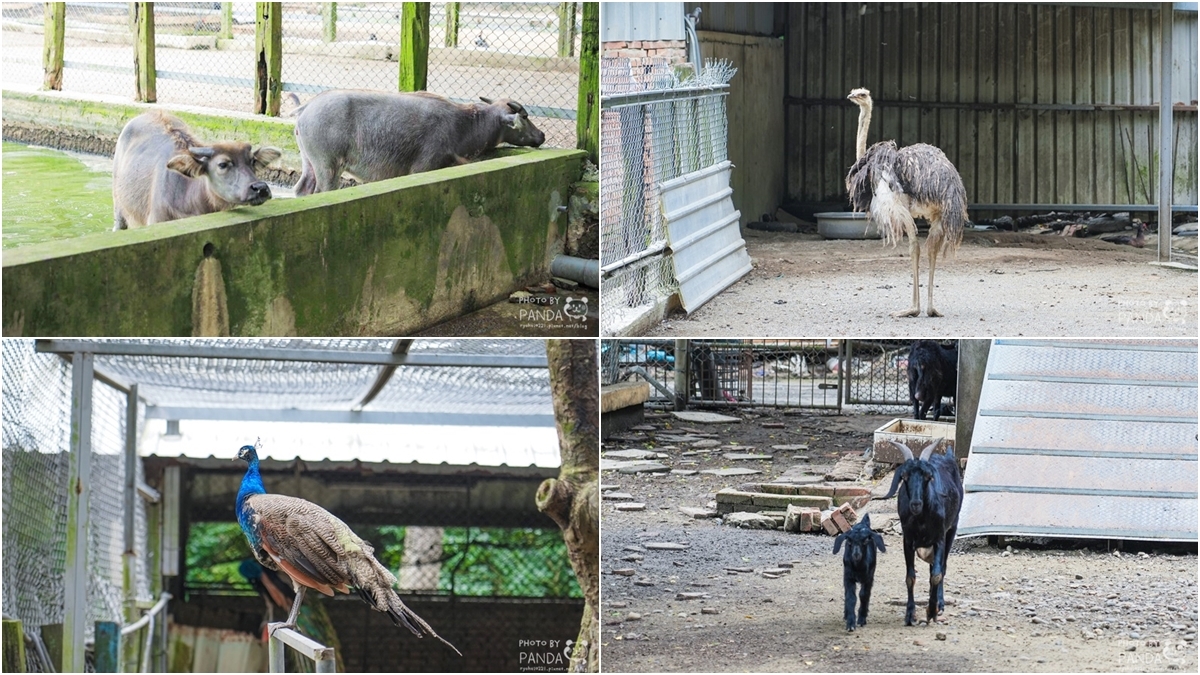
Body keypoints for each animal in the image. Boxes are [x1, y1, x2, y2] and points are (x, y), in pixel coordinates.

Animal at [292, 89, 547, 194]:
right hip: (328, 168)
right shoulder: (423, 167)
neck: (464, 124)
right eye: (525, 117)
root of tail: (306, 108)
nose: (542, 135)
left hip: (309, 164)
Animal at [883, 439, 964, 624]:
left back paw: (940, 603)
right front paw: (910, 614)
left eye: (928, 476)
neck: (921, 520)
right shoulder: (907, 541)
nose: (915, 504)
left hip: (952, 528)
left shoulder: (940, 538)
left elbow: (937, 574)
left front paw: (932, 610)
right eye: (904, 476)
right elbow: (910, 577)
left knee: (942, 567)